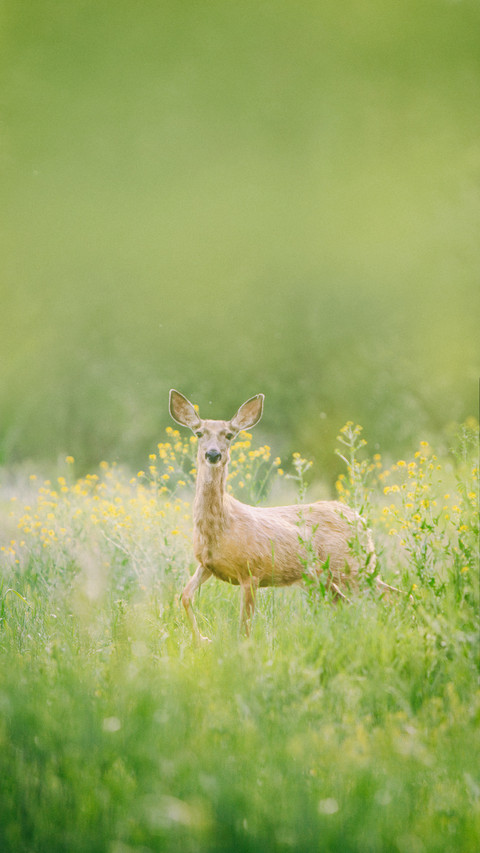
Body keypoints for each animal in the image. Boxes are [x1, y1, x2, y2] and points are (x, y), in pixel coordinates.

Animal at [169, 389, 397, 642]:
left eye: (229, 435)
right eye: (199, 433)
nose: (212, 454)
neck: (222, 525)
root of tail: (361, 520)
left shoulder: (252, 570)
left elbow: (244, 628)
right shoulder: (206, 564)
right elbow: (184, 596)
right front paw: (201, 640)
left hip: (353, 566)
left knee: (392, 595)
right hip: (325, 577)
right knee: (346, 603)